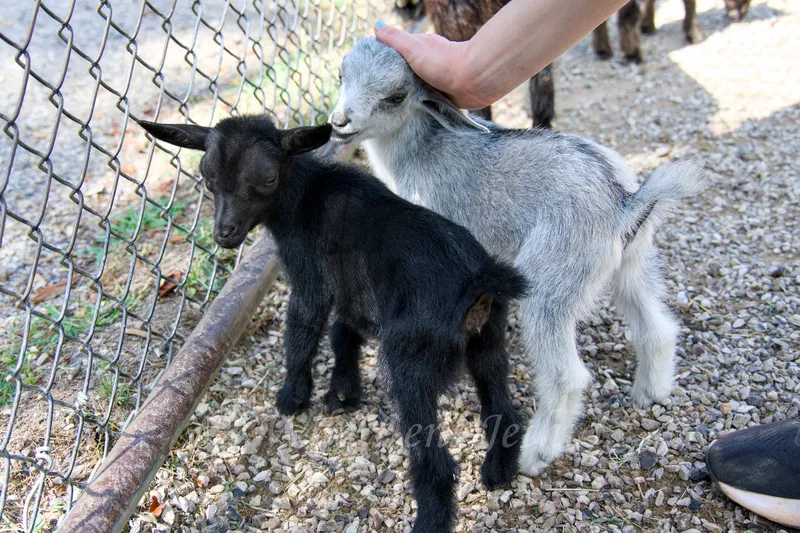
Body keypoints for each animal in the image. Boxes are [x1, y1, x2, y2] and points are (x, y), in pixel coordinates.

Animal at [138, 115, 528, 533]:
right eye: (208, 179)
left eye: (268, 179)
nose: (224, 233)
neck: (304, 197)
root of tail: (477, 284)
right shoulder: (354, 290)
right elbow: (343, 334)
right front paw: (343, 392)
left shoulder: (311, 279)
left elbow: (302, 333)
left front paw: (292, 396)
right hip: (489, 340)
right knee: (501, 407)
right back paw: (498, 469)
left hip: (409, 359)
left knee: (433, 458)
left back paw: (430, 520)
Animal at [329, 37, 708, 476]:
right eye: (341, 74)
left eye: (395, 96)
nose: (339, 121)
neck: (422, 151)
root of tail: (624, 204)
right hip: (631, 265)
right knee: (657, 326)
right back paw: (651, 392)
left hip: (551, 284)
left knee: (566, 377)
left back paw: (532, 455)